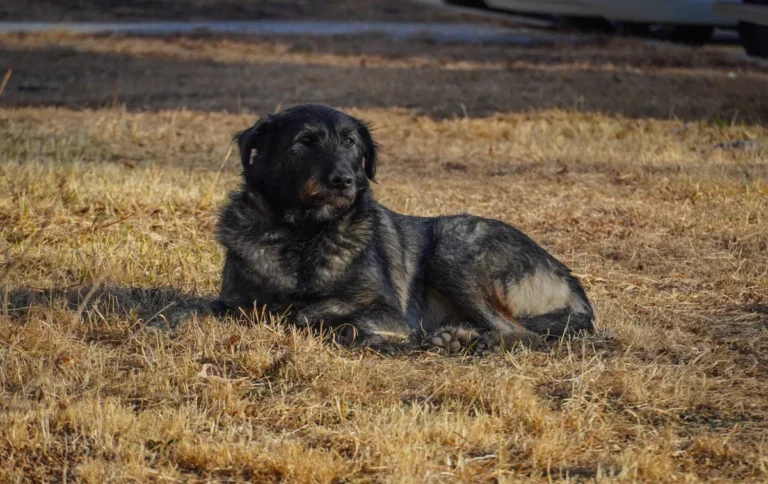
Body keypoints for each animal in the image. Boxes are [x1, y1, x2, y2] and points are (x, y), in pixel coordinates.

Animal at [212, 104, 594, 354]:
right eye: (305, 142)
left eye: (350, 142)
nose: (344, 180)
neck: (306, 235)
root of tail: (568, 278)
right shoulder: (233, 304)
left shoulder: (389, 312)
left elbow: (323, 315)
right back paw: (456, 336)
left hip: (453, 247)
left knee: (524, 334)